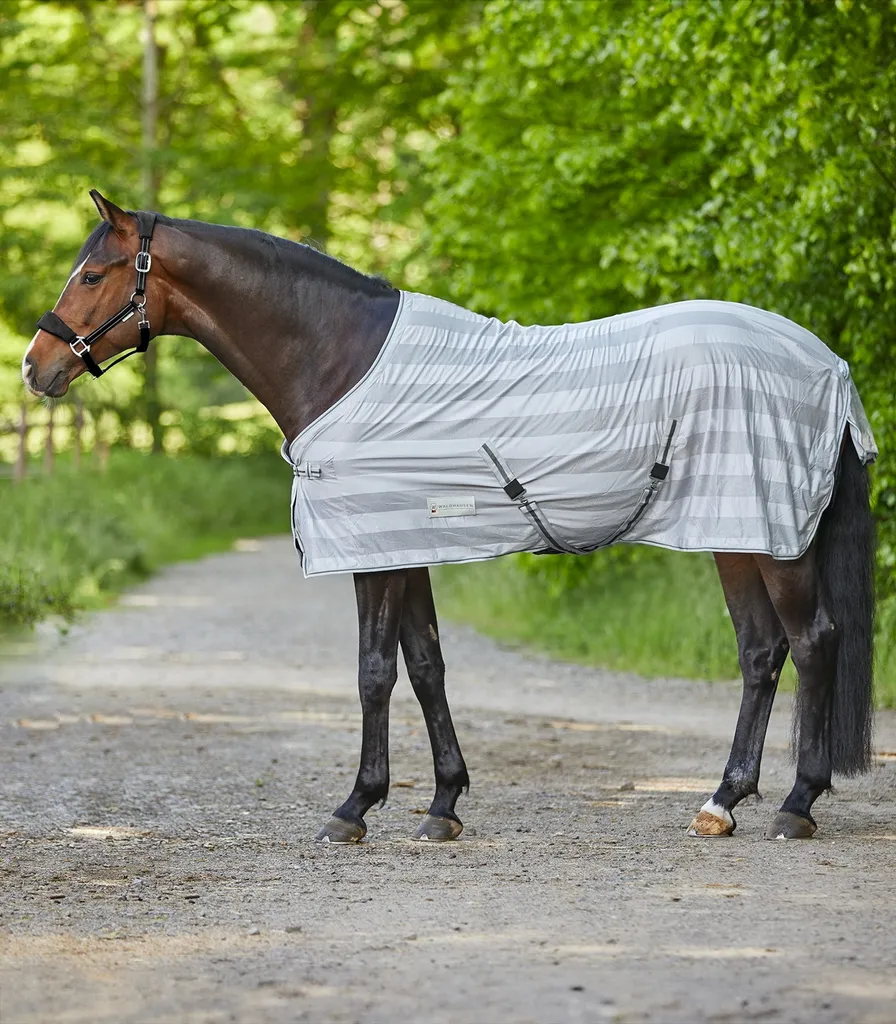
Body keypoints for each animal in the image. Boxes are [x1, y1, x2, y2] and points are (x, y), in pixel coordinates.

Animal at [22, 191, 877, 844]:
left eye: (92, 272)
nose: (36, 367)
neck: (339, 358)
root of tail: (824, 362)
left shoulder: (373, 548)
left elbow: (374, 672)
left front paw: (354, 809)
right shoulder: (407, 545)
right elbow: (426, 665)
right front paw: (442, 805)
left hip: (776, 539)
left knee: (812, 641)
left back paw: (796, 805)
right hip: (736, 532)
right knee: (761, 653)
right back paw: (721, 804)